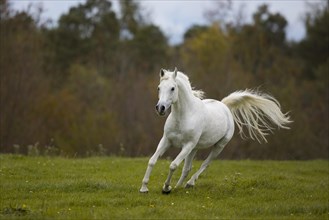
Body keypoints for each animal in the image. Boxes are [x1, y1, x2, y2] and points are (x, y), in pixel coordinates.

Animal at [138, 68, 290, 193]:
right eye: (158, 88)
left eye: (172, 88)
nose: (160, 108)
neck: (184, 116)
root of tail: (224, 106)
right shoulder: (166, 140)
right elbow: (152, 161)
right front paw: (144, 188)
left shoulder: (188, 145)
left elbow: (173, 165)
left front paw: (166, 188)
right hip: (195, 149)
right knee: (187, 168)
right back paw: (178, 186)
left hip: (218, 146)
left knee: (205, 164)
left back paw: (189, 184)